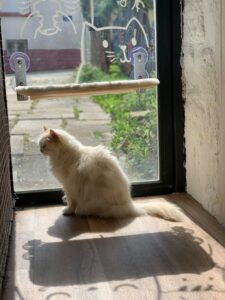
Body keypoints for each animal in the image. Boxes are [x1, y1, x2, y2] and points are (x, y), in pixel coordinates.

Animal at [38, 127, 185, 221]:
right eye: (39, 145)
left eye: (44, 146)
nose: (40, 150)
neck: (65, 155)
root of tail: (130, 204)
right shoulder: (67, 186)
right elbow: (69, 199)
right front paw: (65, 202)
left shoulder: (69, 186)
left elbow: (71, 202)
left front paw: (68, 211)